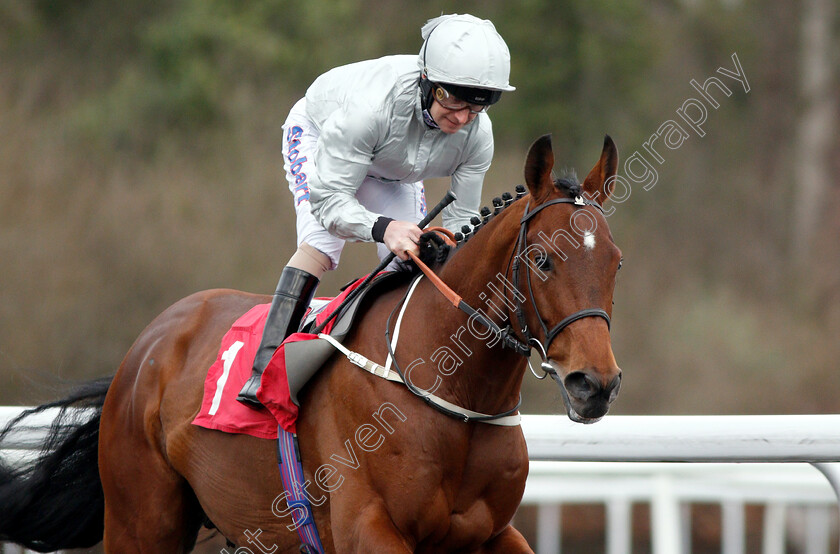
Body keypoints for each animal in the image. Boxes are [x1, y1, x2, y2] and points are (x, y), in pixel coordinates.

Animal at [1, 135, 624, 552]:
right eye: (542, 260)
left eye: (616, 262)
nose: (594, 384)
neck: (452, 394)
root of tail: (147, 346)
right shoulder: (368, 528)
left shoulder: (490, 534)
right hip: (142, 518)